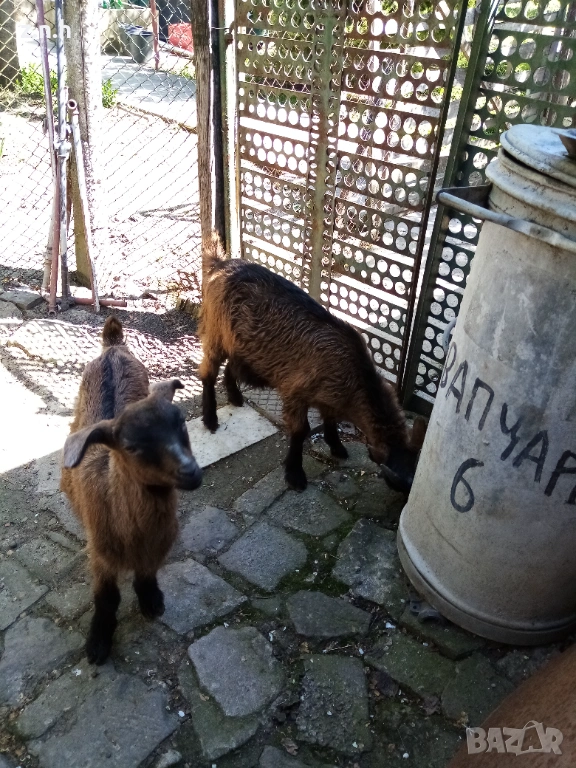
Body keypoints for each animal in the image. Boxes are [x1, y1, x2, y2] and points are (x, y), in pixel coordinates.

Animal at [61, 316, 202, 664]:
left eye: (182, 424)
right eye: (131, 446)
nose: (190, 472)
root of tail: (113, 347)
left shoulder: (157, 547)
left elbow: (147, 573)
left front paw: (151, 601)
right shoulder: (100, 553)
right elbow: (107, 597)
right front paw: (98, 643)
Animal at [198, 235, 426, 492]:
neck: (354, 375)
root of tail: (220, 265)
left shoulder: (328, 394)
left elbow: (330, 418)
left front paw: (337, 446)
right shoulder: (295, 391)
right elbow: (300, 430)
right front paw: (295, 474)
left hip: (244, 349)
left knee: (232, 366)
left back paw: (235, 397)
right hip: (215, 329)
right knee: (209, 370)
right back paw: (210, 418)